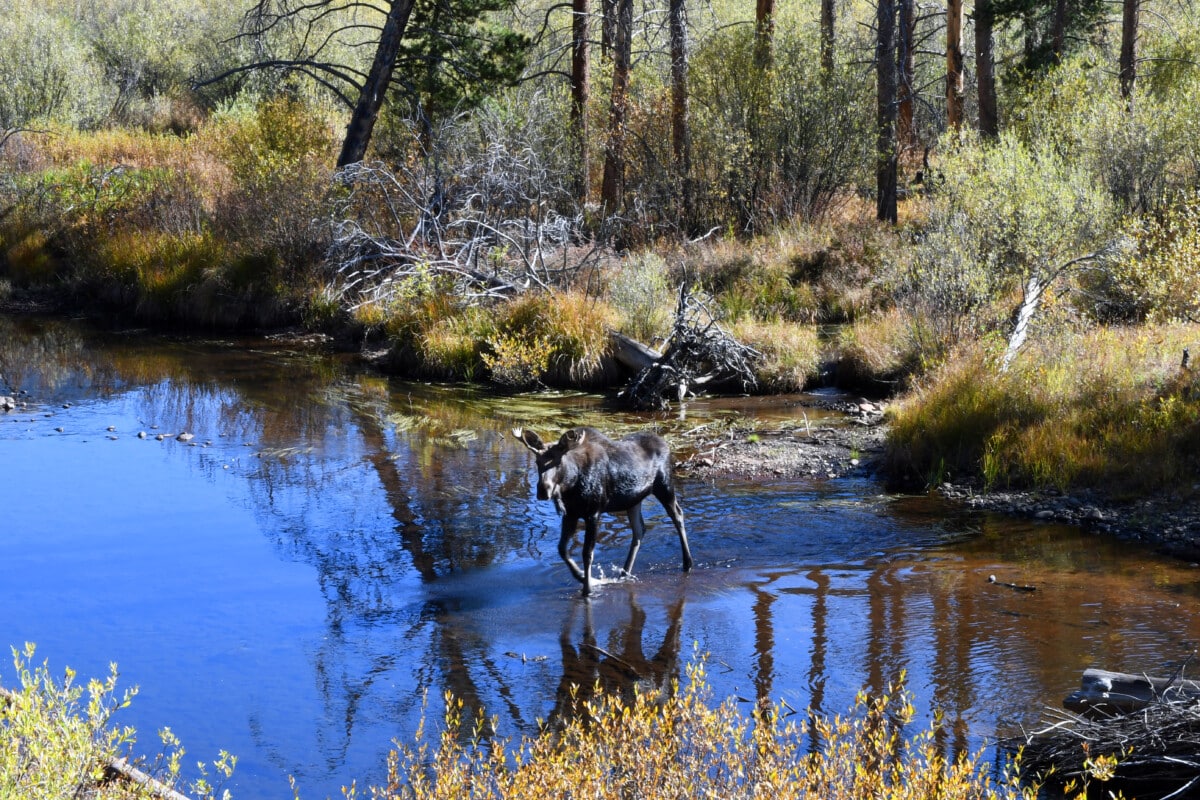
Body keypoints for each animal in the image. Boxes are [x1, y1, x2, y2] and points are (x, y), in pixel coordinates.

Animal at [512, 426, 693, 596]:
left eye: (558, 461)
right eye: (537, 462)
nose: (543, 490)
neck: (571, 486)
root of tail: (666, 444)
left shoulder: (593, 513)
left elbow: (587, 554)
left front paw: (588, 588)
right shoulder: (571, 514)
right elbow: (562, 549)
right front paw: (584, 577)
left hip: (664, 486)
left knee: (678, 515)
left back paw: (687, 563)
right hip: (633, 500)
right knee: (639, 530)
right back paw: (624, 573)